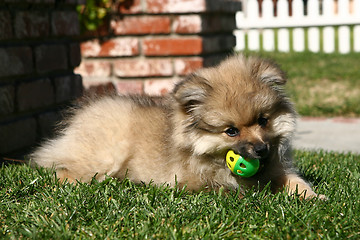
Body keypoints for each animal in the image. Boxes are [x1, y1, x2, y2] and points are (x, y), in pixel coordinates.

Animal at [31, 54, 324, 199]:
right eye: (231, 131)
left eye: (263, 120)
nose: (262, 150)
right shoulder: (191, 183)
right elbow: (225, 189)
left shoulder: (278, 170)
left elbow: (294, 181)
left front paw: (310, 196)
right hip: (105, 155)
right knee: (62, 170)